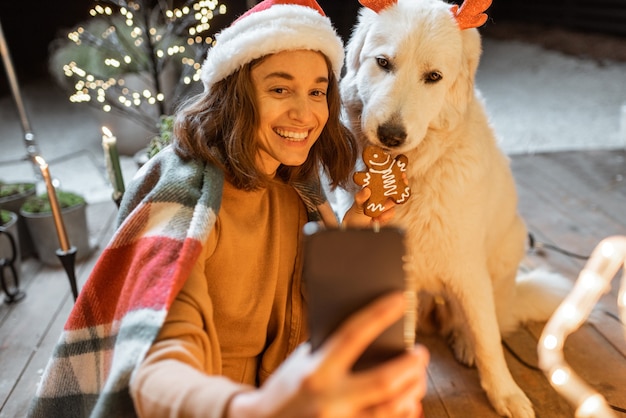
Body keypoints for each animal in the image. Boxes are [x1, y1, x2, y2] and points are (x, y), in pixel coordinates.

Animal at [338, 0, 568, 418]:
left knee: (482, 321)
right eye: (383, 63)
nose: (390, 136)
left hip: (506, 249)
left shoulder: (467, 268)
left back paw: (464, 342)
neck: (413, 171)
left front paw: (505, 394)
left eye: (433, 77)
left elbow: (488, 339)